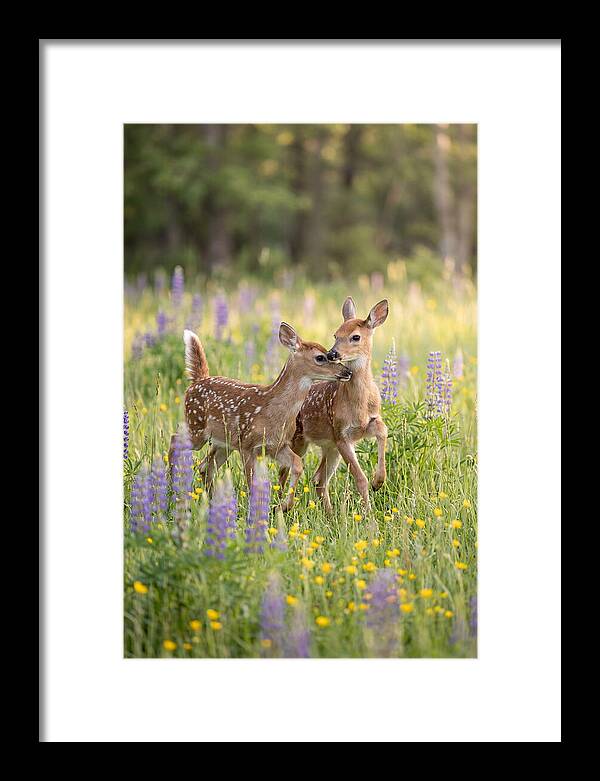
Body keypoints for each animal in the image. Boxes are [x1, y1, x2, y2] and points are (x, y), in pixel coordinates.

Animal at [172, 322, 352, 511]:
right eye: (320, 357)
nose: (347, 372)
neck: (272, 411)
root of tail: (197, 381)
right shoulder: (247, 445)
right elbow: (252, 483)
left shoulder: (277, 445)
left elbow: (297, 464)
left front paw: (283, 506)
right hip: (196, 427)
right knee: (175, 439)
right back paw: (171, 486)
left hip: (223, 443)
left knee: (205, 467)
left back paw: (211, 502)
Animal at [279, 297, 389, 513]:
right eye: (335, 335)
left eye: (355, 337)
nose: (332, 353)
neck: (360, 404)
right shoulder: (341, 434)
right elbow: (360, 478)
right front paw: (369, 514)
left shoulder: (368, 423)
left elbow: (383, 431)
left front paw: (378, 481)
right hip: (299, 440)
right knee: (285, 472)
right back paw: (279, 506)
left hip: (329, 447)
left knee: (319, 479)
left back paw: (329, 514)